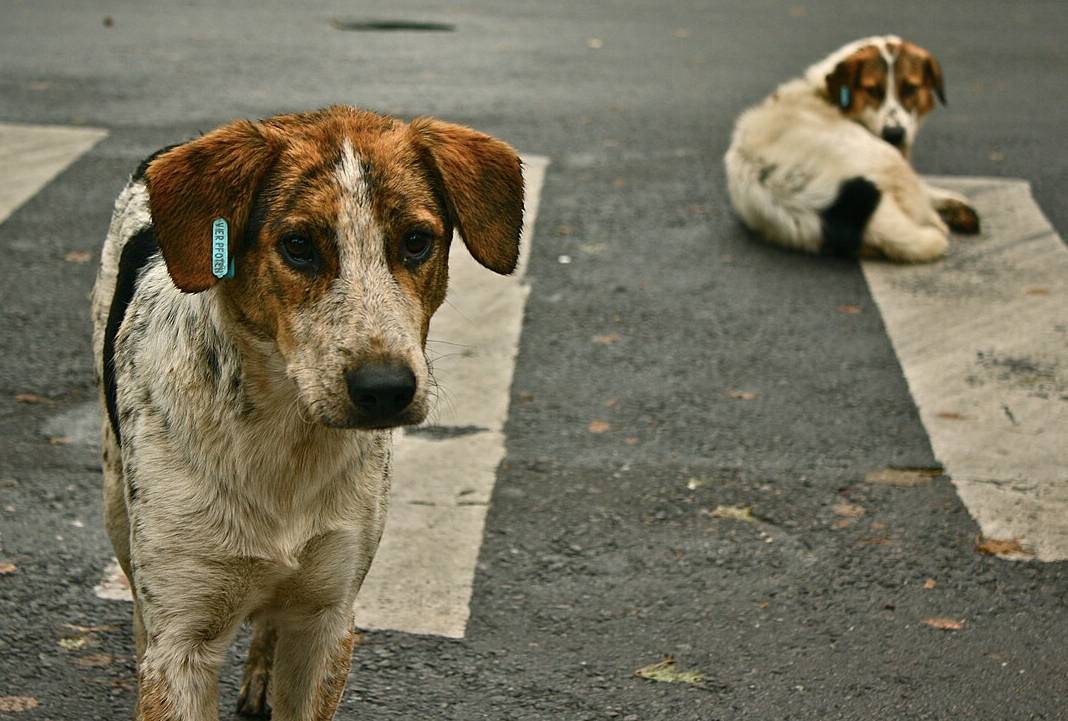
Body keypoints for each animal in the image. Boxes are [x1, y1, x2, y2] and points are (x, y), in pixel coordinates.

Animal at [89, 108, 523, 721]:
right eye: (297, 246)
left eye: (416, 242)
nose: (386, 389)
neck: (285, 438)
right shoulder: (182, 638)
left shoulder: (327, 621)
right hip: (116, 505)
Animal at [721, 36, 978, 262]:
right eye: (872, 90)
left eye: (910, 89)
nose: (894, 134)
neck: (825, 94)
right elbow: (927, 190)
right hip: (888, 160)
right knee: (928, 218)